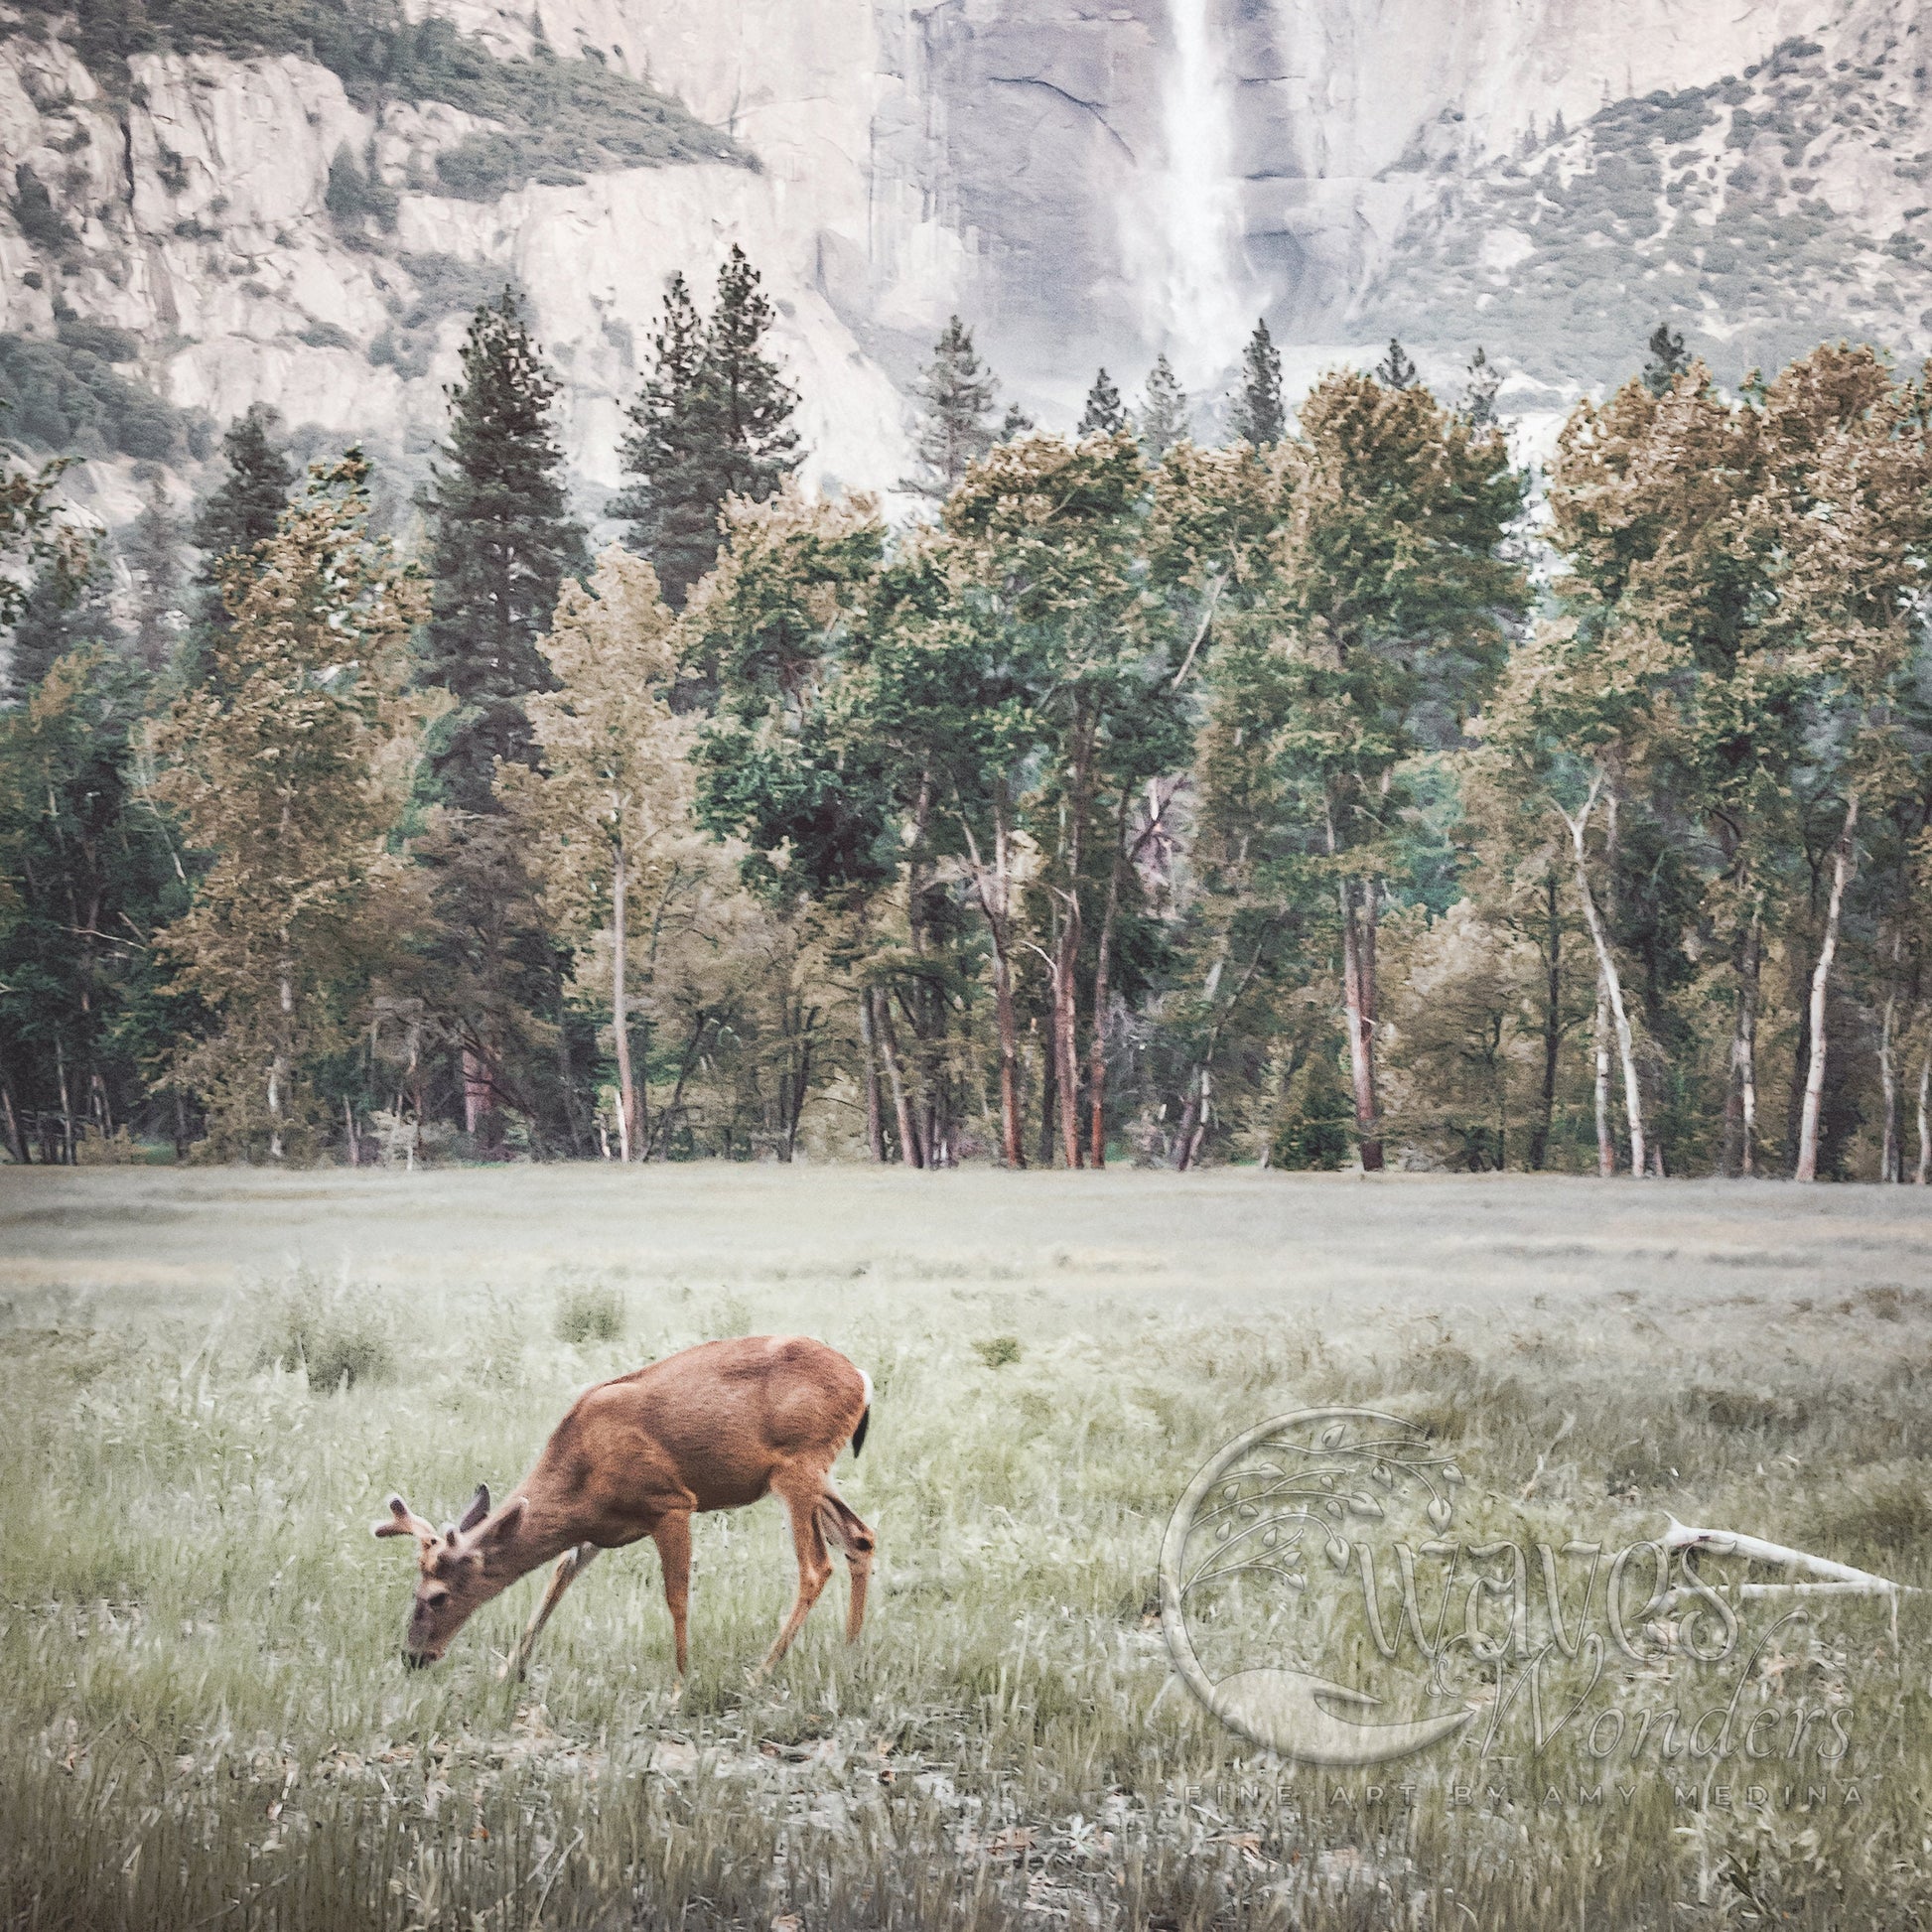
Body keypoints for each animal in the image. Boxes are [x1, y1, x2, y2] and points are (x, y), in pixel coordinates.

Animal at [366, 1336, 877, 1684]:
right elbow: (558, 1579)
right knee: (861, 1538)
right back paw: (849, 1653)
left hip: (798, 1467)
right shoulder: (598, 1528)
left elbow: (676, 1596)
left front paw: (680, 1684)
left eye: (437, 1596)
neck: (581, 1473)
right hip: (816, 1474)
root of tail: (862, 1379)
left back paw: (763, 1670)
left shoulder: (671, 1503)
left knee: (816, 1566)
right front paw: (510, 1671)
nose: (413, 1657)